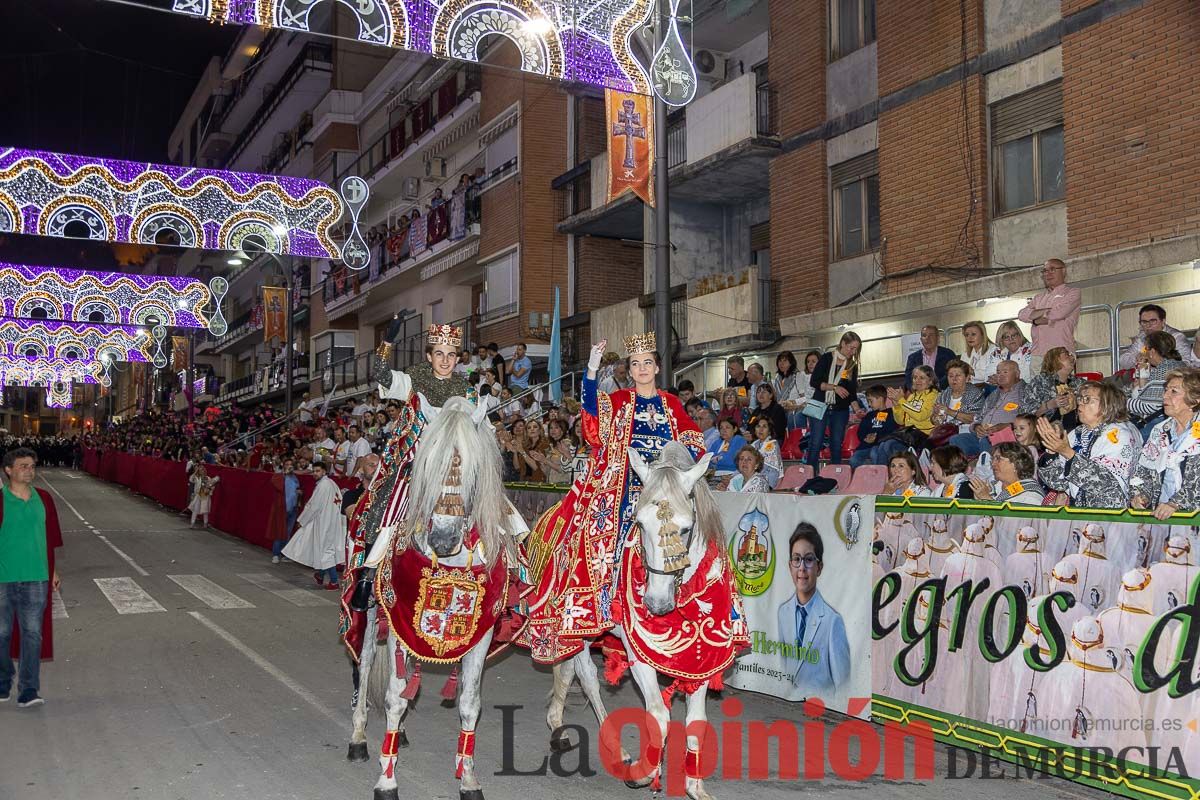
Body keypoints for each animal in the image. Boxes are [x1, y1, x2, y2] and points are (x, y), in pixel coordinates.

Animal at [348, 398, 516, 800]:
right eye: (424, 467)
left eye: (473, 472)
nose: (442, 539)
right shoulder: (397, 625)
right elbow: (394, 698)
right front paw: (387, 780)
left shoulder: (481, 635)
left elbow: (469, 704)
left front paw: (469, 780)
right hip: (371, 616)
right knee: (365, 669)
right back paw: (358, 738)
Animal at [549, 443, 734, 800]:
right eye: (640, 523)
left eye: (686, 528)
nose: (656, 603)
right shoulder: (638, 657)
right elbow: (659, 715)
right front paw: (644, 772)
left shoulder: (702, 659)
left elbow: (697, 720)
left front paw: (695, 786)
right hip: (580, 628)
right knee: (587, 677)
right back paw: (617, 750)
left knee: (567, 672)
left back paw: (557, 725)